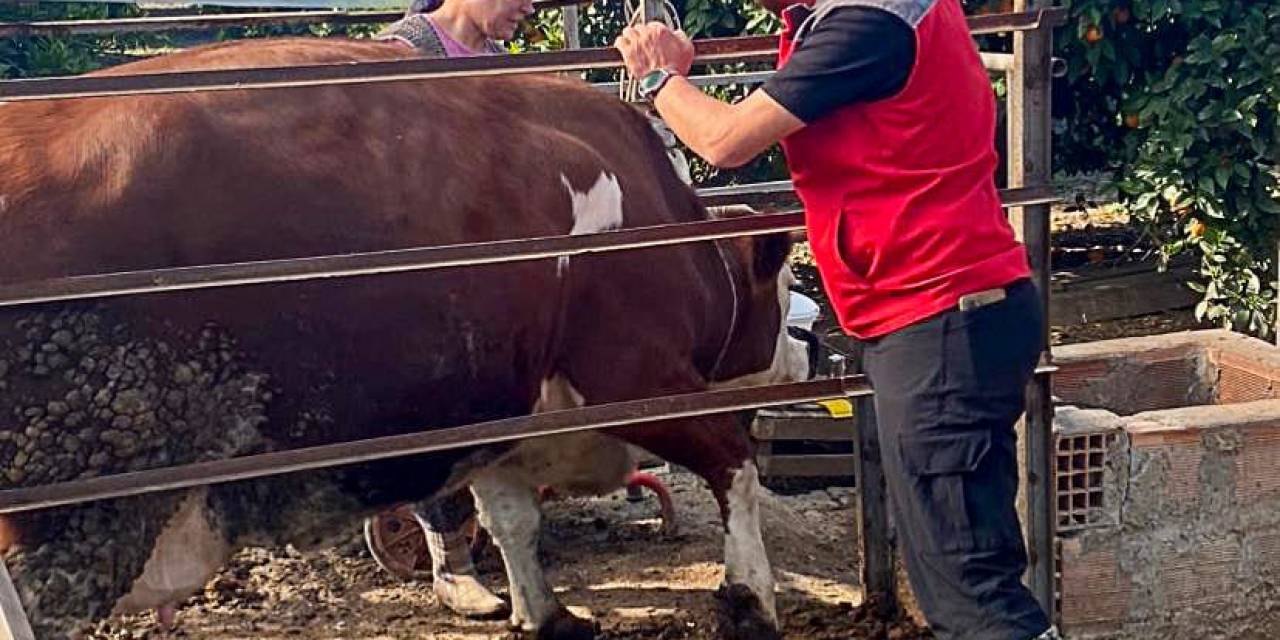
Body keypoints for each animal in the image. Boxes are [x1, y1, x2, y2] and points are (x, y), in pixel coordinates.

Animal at [0, 36, 808, 640]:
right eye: (780, 296)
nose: (809, 350)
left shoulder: (499, 412)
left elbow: (511, 519)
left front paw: (543, 614)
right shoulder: (637, 374)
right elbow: (735, 466)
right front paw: (751, 604)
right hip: (69, 511)